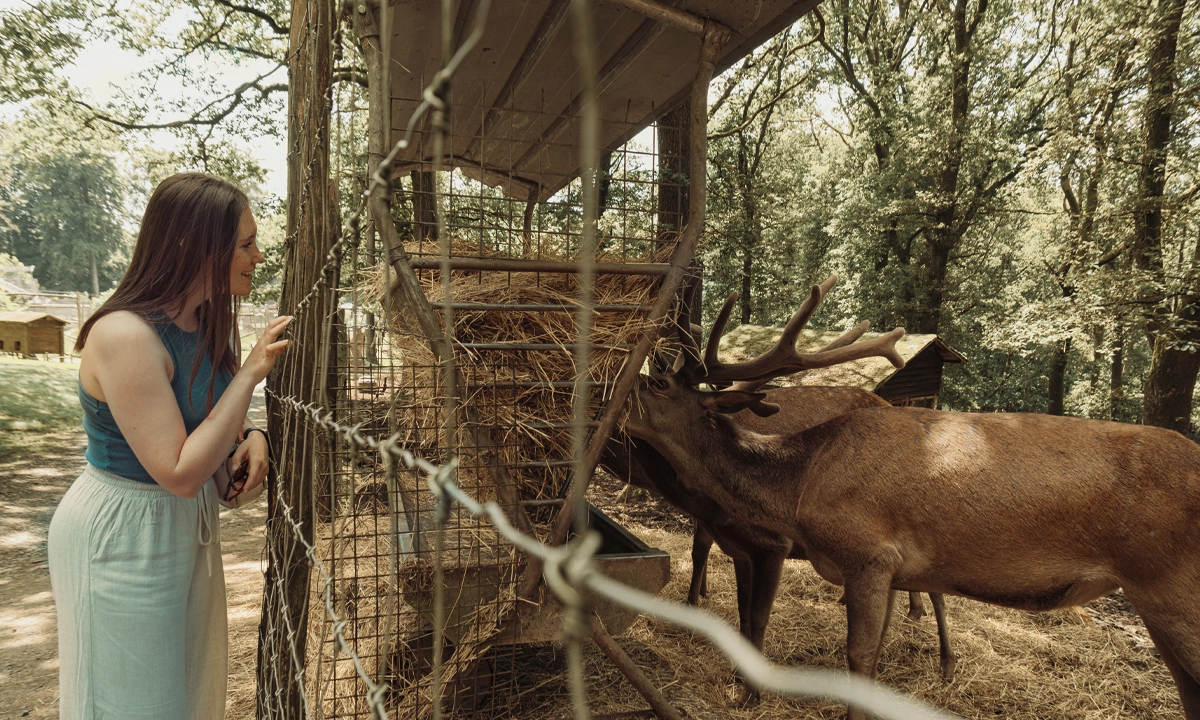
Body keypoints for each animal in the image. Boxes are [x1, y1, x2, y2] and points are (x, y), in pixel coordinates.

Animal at [624, 277, 1200, 720]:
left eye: (657, 385)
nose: (610, 385)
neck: (801, 483)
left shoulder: (869, 555)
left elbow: (859, 659)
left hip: (1171, 587)